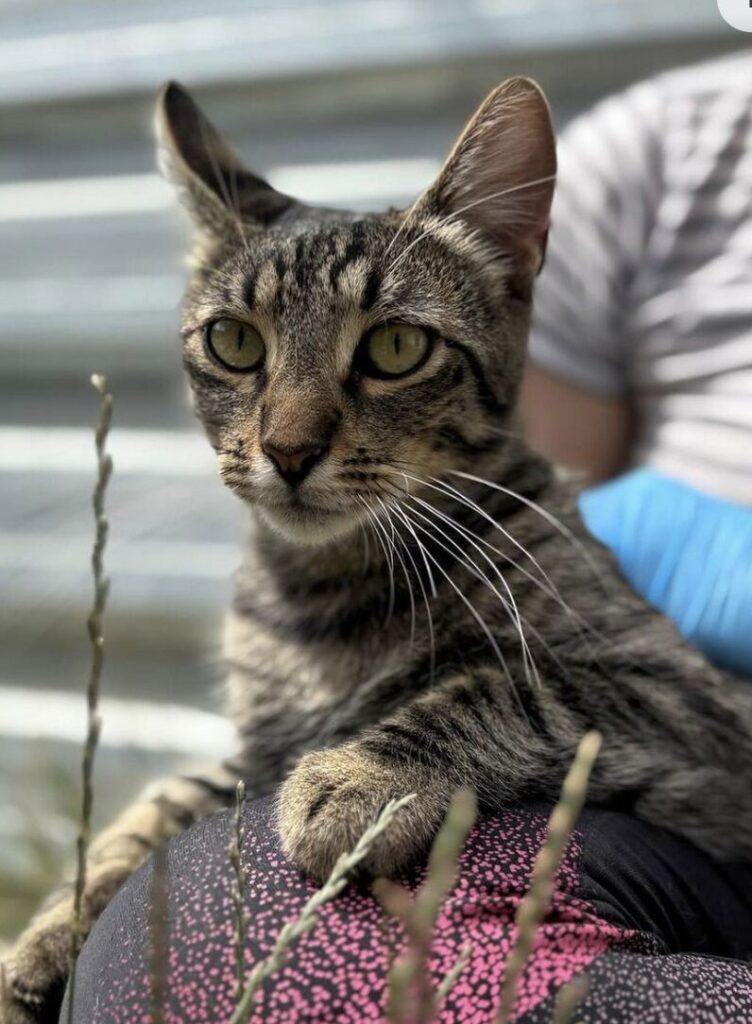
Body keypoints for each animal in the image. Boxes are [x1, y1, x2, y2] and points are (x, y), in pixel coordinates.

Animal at [5, 75, 752, 1019]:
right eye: (233, 341)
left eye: (397, 347)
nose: (288, 450)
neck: (322, 592)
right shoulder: (256, 748)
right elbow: (171, 801)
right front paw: (55, 923)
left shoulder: (687, 698)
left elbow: (509, 682)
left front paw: (361, 778)